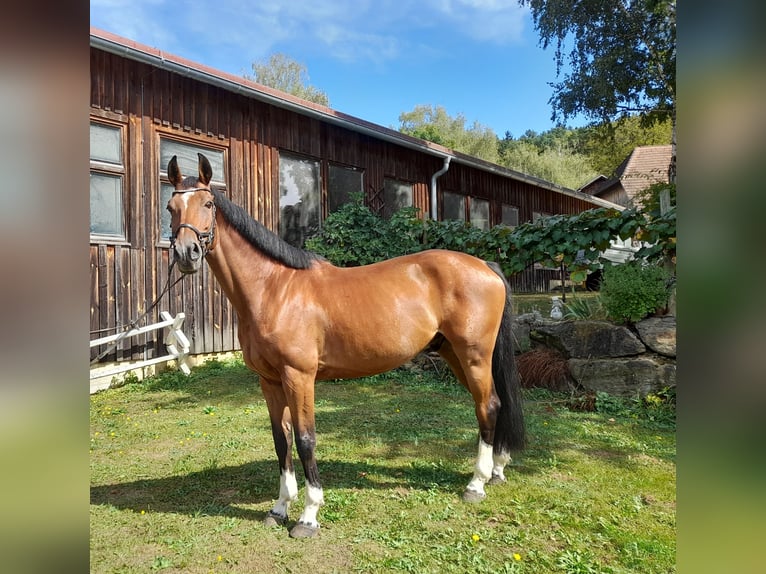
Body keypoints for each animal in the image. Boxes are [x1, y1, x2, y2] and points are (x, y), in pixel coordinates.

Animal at [168, 154, 528, 540]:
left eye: (208, 204)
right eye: (171, 206)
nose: (186, 253)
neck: (274, 289)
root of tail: (484, 265)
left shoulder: (299, 378)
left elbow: (306, 439)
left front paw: (308, 516)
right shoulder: (270, 381)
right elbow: (281, 440)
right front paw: (279, 507)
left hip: (474, 355)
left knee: (487, 406)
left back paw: (476, 484)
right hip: (455, 354)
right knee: (492, 404)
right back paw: (496, 470)